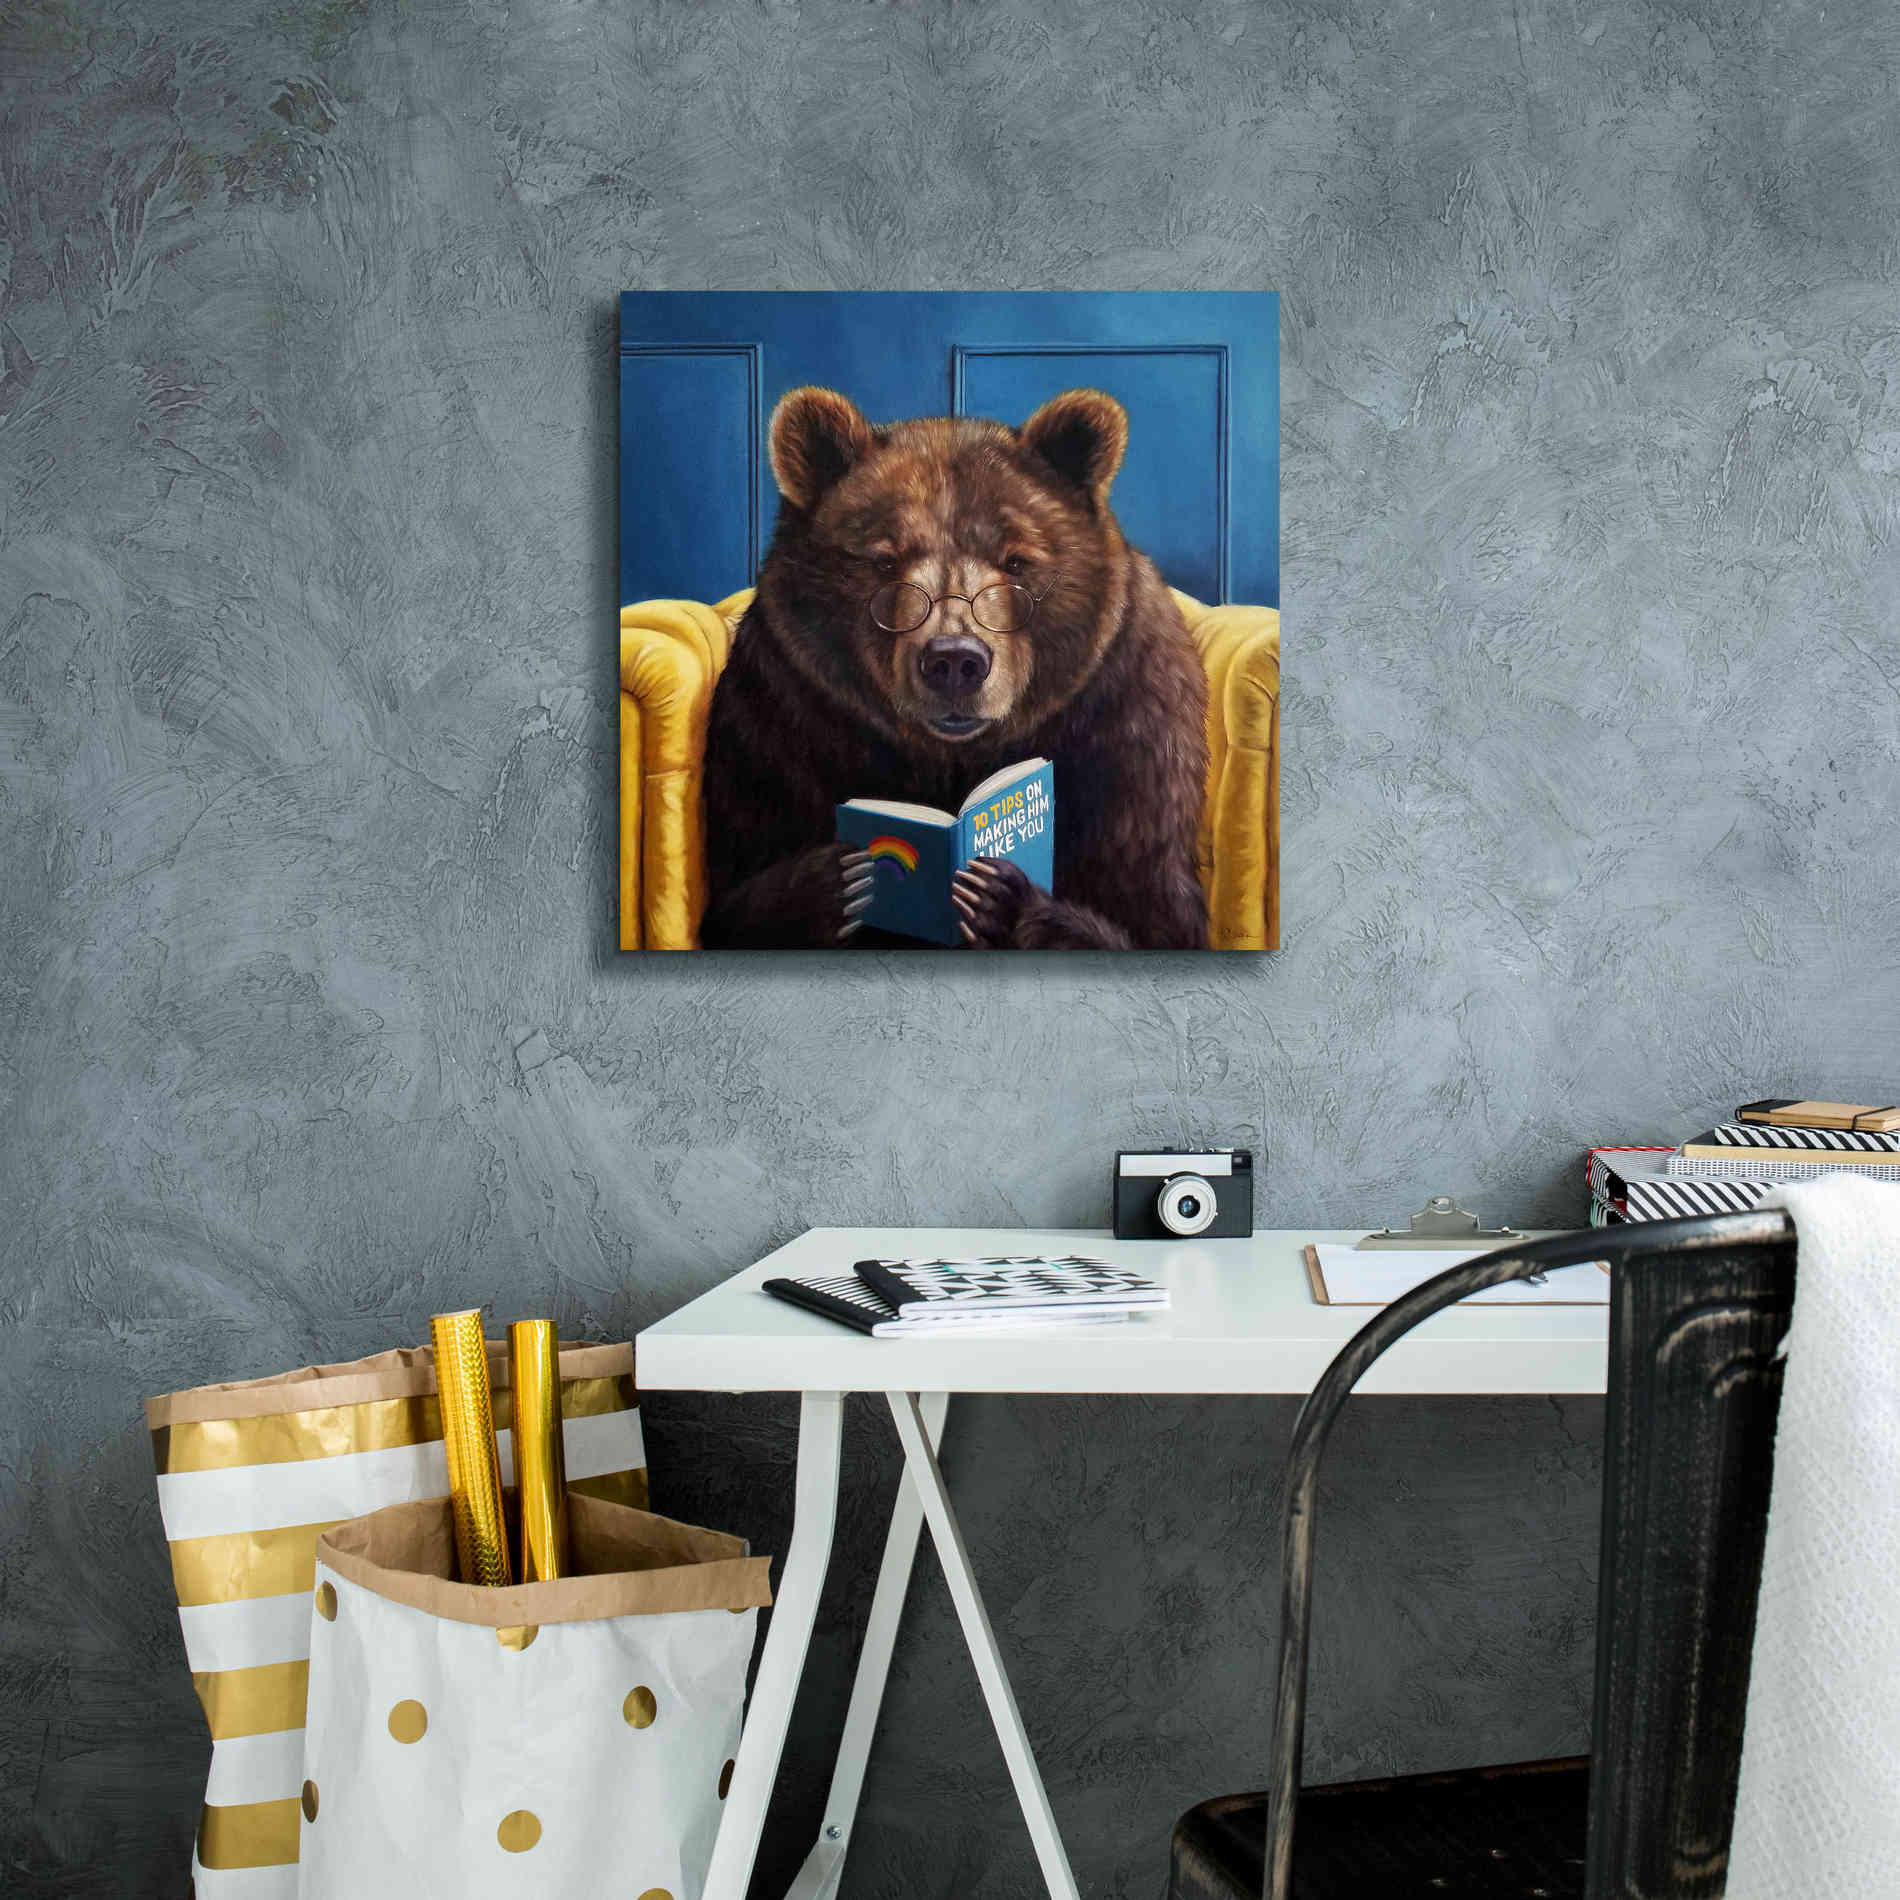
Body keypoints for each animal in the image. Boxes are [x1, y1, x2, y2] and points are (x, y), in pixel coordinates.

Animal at [697, 384, 1210, 951]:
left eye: (1016, 560)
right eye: (884, 560)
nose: (955, 660)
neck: (948, 756)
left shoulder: (1126, 723)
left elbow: (1150, 916)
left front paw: (998, 894)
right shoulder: (778, 714)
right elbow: (738, 894)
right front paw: (841, 880)